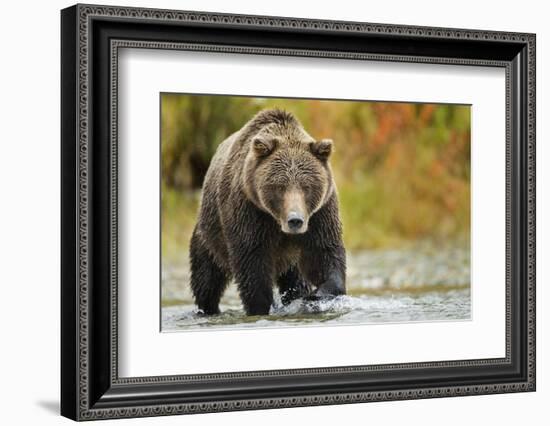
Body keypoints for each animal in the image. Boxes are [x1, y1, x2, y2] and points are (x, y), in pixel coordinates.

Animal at [190, 109, 344, 316]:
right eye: (280, 186)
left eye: (307, 186)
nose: (295, 220)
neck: (276, 221)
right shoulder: (249, 211)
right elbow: (252, 264)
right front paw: (261, 306)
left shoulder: (320, 214)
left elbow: (324, 253)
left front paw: (315, 295)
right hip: (210, 237)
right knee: (206, 280)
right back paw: (208, 309)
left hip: (290, 260)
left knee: (295, 280)